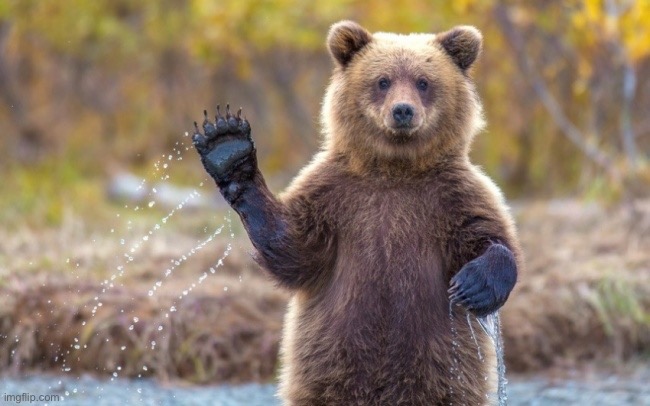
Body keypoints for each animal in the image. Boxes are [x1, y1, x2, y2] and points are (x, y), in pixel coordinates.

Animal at [192, 20, 522, 405]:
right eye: (383, 80)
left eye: (423, 81)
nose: (403, 111)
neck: (395, 169)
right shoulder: (335, 195)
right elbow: (294, 248)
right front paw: (228, 148)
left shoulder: (452, 196)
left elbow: (488, 236)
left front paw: (474, 284)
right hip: (328, 364)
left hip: (443, 371)